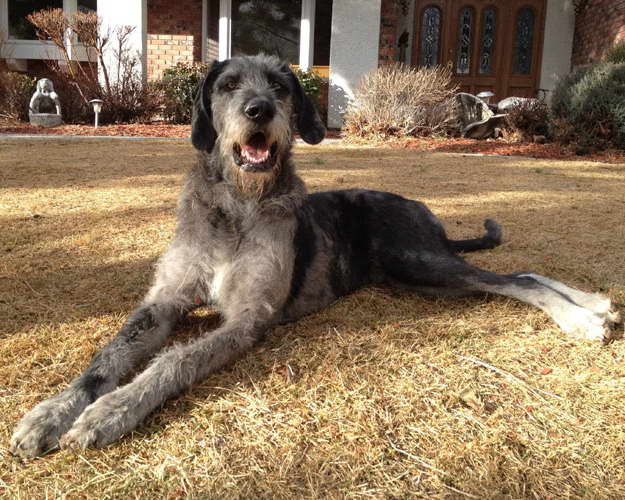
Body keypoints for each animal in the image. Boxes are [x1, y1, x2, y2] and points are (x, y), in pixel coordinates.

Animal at [9, 53, 620, 458]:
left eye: (280, 86)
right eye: (227, 84)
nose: (259, 110)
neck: (238, 206)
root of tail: (427, 214)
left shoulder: (247, 318)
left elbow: (175, 361)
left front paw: (111, 412)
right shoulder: (163, 303)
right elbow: (105, 358)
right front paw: (49, 414)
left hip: (420, 261)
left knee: (516, 277)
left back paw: (583, 317)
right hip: (417, 276)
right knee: (518, 271)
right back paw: (595, 305)